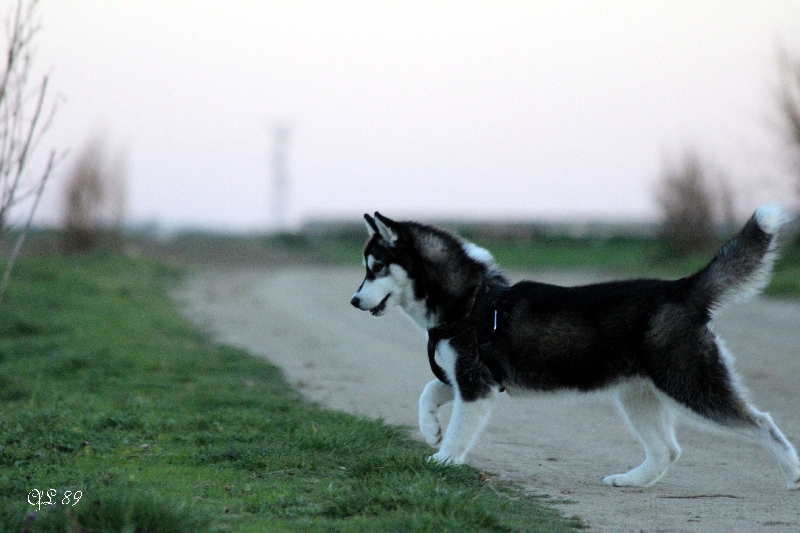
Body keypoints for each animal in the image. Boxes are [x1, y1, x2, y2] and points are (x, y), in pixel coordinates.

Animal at [350, 207, 800, 489]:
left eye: (376, 268)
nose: (353, 301)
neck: (472, 301)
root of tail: (680, 289)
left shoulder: (475, 386)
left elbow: (459, 432)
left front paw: (442, 460)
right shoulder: (467, 378)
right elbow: (428, 391)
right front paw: (430, 428)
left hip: (690, 384)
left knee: (762, 422)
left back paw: (792, 471)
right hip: (637, 394)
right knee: (667, 451)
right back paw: (630, 480)